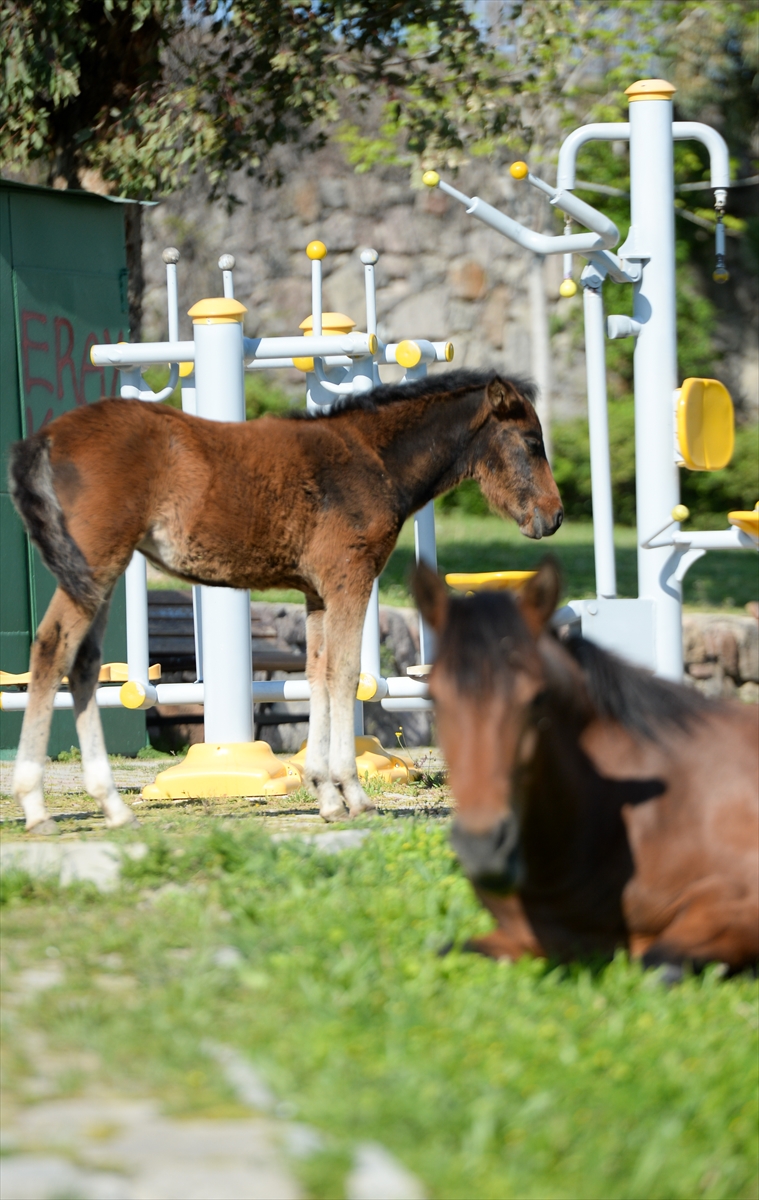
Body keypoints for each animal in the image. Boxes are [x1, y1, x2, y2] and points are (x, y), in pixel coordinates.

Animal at [7, 369, 564, 830]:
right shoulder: (349, 578)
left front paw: (326, 794)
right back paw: (35, 805)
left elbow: (316, 673)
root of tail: (48, 436)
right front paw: (354, 795)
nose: (554, 516)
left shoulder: (316, 592)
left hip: (98, 572)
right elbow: (343, 675)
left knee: (82, 665)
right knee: (51, 649)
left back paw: (113, 807)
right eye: (532, 442)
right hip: (97, 561)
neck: (372, 460)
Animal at [415, 556, 758, 969]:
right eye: (433, 697)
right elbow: (445, 950)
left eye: (538, 697)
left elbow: (659, 960)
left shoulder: (738, 906)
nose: (482, 849)